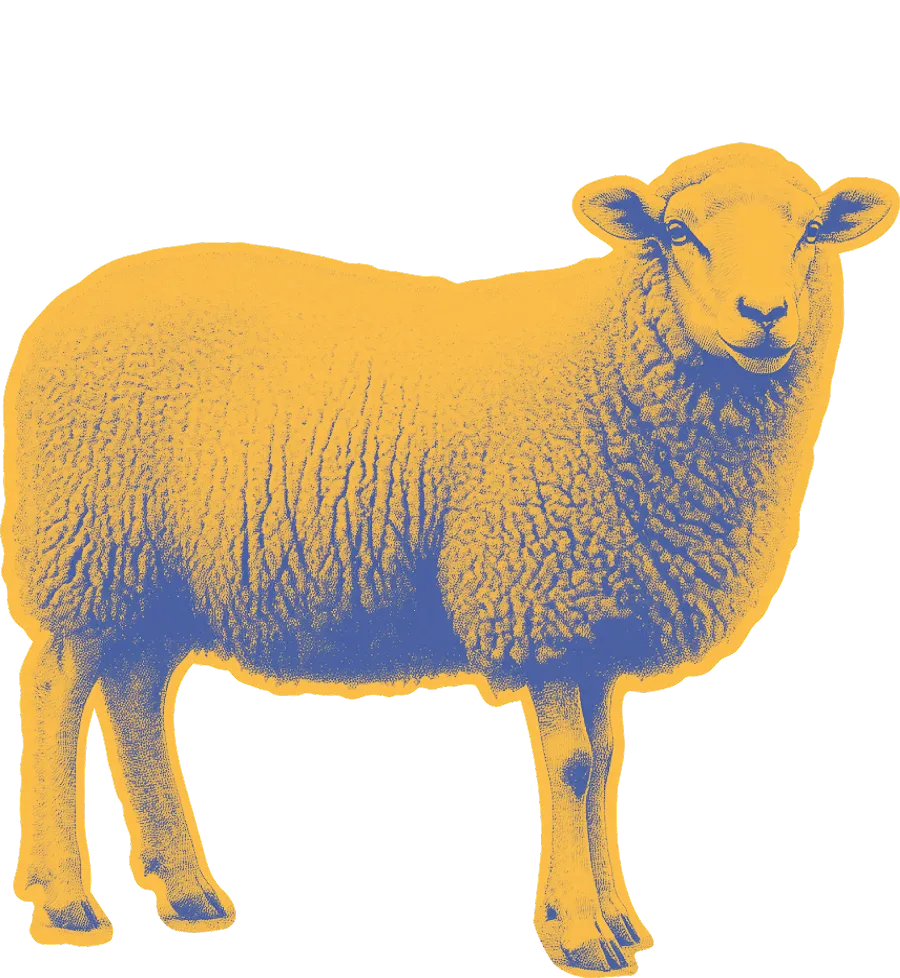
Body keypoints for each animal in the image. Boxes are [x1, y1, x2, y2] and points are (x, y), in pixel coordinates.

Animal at [3, 143, 897, 975]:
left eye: (810, 230)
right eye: (678, 234)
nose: (765, 314)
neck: (609, 366)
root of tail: (66, 305)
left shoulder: (600, 618)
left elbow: (608, 767)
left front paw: (617, 920)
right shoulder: (540, 602)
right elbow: (573, 766)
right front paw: (581, 933)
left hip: (149, 581)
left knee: (135, 697)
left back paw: (188, 892)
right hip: (85, 550)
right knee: (54, 692)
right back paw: (66, 903)